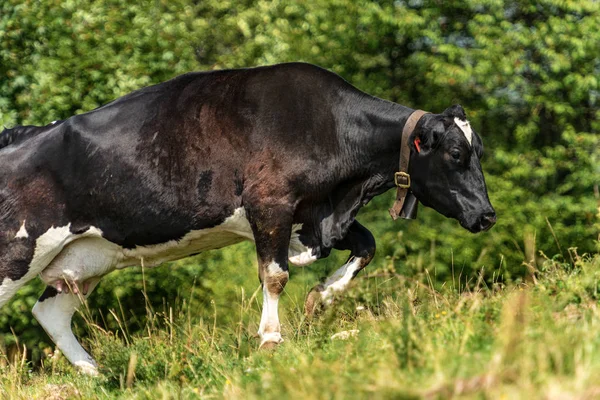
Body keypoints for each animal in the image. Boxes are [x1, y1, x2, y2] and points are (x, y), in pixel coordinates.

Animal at [0, 62, 496, 376]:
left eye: (480, 150)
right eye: (456, 153)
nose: (488, 215)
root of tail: (23, 134)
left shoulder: (312, 215)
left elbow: (366, 246)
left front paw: (320, 298)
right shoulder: (270, 204)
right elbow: (275, 275)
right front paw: (270, 339)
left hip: (84, 259)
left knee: (50, 311)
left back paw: (94, 373)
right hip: (17, 251)